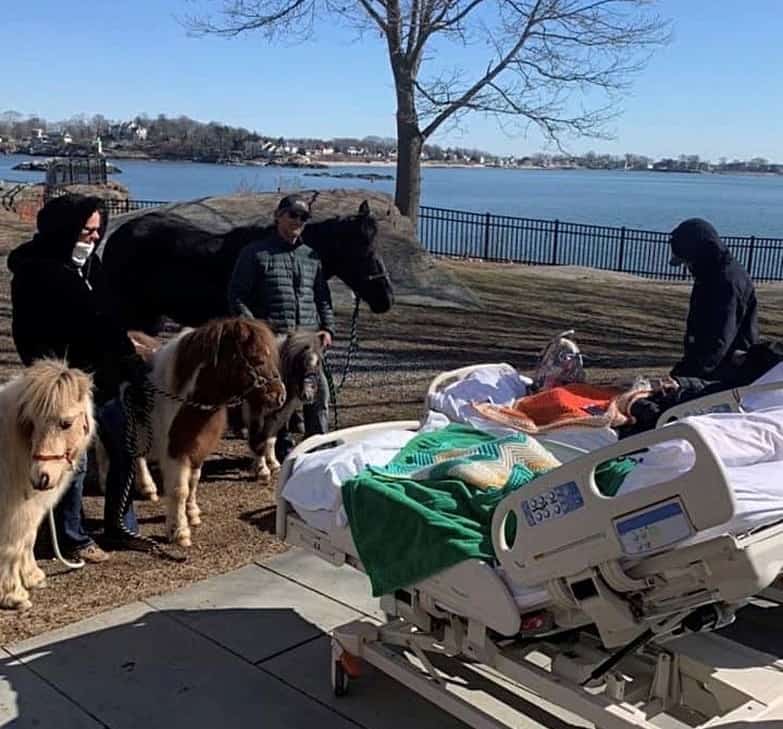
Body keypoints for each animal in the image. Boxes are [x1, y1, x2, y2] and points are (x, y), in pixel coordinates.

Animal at [0, 360, 94, 608]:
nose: (41, 477)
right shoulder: (13, 511)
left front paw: (32, 578)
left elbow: (27, 539)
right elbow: (11, 546)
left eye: (66, 423)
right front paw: (14, 595)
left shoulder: (30, 508)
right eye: (31, 423)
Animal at [136, 318, 286, 544]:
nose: (280, 396)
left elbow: (193, 480)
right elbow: (179, 489)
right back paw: (147, 487)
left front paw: (192, 513)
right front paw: (179, 531)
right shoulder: (175, 450)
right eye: (257, 358)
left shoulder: (199, 447)